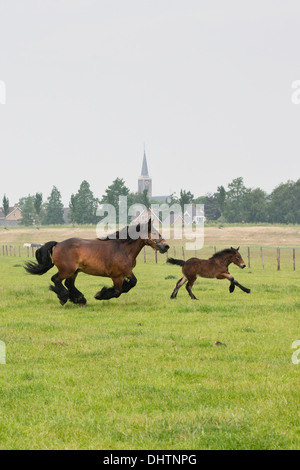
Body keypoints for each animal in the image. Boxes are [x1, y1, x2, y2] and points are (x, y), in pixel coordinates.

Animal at [24, 219, 169, 306]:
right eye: (154, 233)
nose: (166, 246)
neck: (123, 248)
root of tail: (58, 244)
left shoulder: (127, 272)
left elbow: (132, 283)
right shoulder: (116, 276)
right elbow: (117, 291)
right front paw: (101, 295)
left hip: (74, 271)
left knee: (69, 283)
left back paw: (79, 299)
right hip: (67, 270)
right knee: (56, 279)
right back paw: (64, 297)